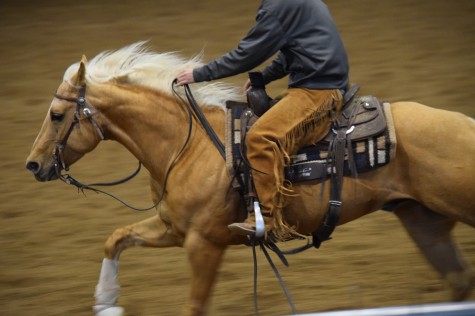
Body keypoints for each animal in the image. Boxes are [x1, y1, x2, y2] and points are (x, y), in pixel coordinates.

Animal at [26, 42, 475, 316]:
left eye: (56, 115)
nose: (32, 165)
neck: (187, 146)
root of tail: (464, 124)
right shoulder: (173, 229)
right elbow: (116, 238)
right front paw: (107, 302)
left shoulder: (203, 244)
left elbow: (195, 305)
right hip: (424, 221)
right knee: (459, 280)